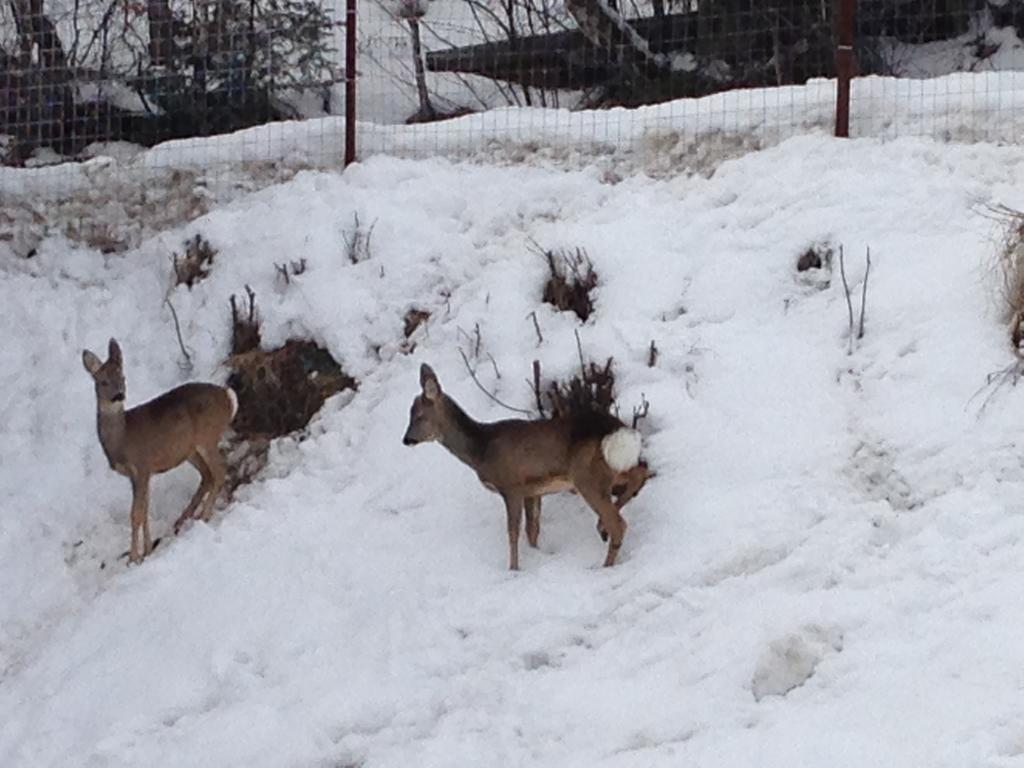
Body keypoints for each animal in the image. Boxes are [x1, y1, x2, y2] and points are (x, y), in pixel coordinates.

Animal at [81, 339, 237, 561]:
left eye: (122, 377)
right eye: (102, 381)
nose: (119, 395)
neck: (123, 439)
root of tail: (228, 397)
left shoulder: (143, 464)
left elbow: (136, 513)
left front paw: (133, 557)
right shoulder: (136, 475)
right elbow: (144, 510)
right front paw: (146, 550)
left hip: (207, 436)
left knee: (220, 471)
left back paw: (204, 515)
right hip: (190, 450)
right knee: (208, 475)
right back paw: (183, 518)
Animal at [401, 364, 647, 573]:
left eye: (420, 416)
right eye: (409, 414)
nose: (406, 440)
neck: (481, 449)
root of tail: (616, 429)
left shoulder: (511, 487)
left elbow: (513, 532)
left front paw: (513, 570)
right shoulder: (533, 490)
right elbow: (532, 529)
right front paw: (536, 556)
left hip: (586, 477)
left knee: (619, 523)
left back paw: (604, 564)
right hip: (611, 465)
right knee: (641, 471)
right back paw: (602, 527)